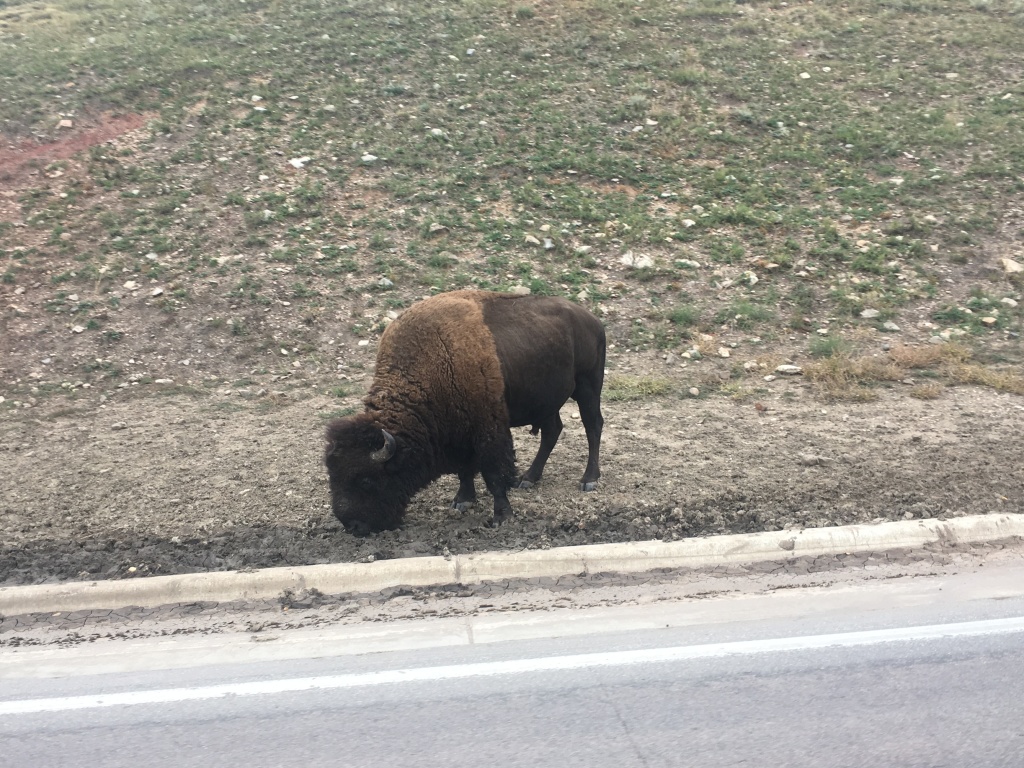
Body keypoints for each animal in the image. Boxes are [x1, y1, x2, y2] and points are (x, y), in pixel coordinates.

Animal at [324, 289, 605, 534]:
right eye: (333, 476)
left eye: (366, 480)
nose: (353, 526)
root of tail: (592, 320)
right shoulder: (460, 430)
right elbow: (465, 469)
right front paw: (463, 500)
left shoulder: (488, 429)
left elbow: (493, 474)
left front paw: (501, 516)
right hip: (547, 401)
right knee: (552, 431)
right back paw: (528, 478)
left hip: (588, 387)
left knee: (593, 426)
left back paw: (588, 480)